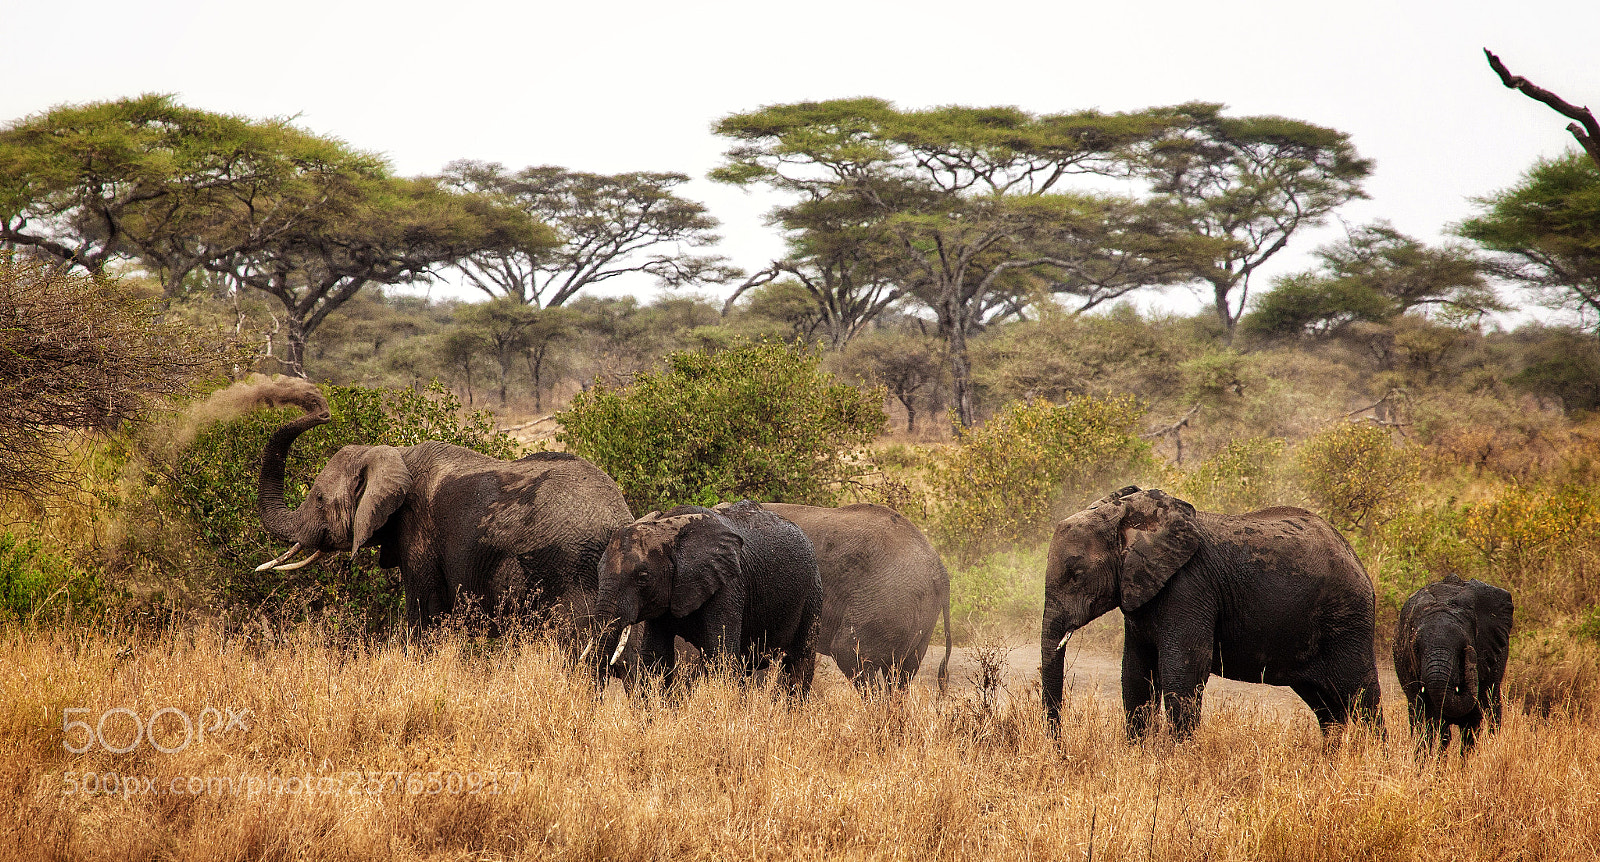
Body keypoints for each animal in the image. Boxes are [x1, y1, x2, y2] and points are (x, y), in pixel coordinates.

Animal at [255, 407, 634, 638]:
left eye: (319, 499)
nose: (323, 413)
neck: (392, 453)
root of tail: (620, 518)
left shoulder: (418, 532)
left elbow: (425, 615)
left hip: (569, 569)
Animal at [590, 501, 822, 698]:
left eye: (643, 577)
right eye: (598, 571)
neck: (669, 529)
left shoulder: (728, 584)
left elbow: (721, 655)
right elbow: (655, 657)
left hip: (812, 592)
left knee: (799, 663)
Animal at [1041, 486, 1382, 739]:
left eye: (1075, 575)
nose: (1060, 749)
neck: (1129, 516)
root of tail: (1354, 557)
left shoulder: (1189, 586)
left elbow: (1183, 671)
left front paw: (1177, 760)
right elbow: (1137, 674)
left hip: (1347, 618)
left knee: (1361, 696)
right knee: (1327, 708)